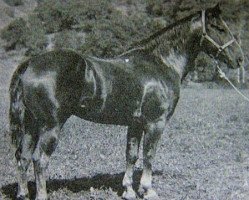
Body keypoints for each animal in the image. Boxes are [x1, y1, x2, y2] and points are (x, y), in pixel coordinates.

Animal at [9, 3, 243, 200]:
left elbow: (131, 156)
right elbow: (149, 155)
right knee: (39, 160)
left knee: (23, 157)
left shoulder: (135, 123)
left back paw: (22, 194)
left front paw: (129, 190)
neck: (161, 63)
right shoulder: (155, 123)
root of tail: (31, 62)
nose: (239, 59)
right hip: (51, 126)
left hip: (31, 125)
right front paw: (148, 190)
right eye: (218, 28)